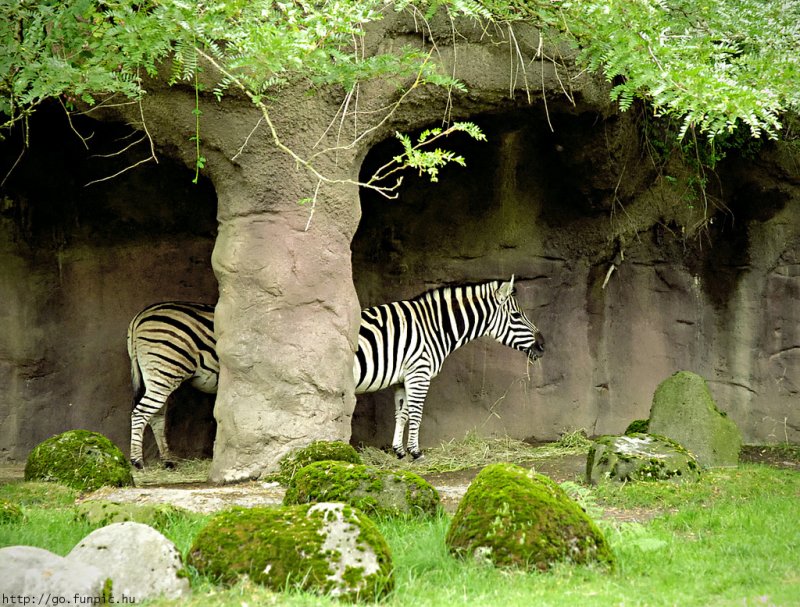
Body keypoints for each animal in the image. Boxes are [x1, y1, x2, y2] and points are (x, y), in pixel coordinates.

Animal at [127, 277, 544, 467]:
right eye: (519, 316)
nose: (543, 346)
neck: (433, 328)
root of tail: (140, 315)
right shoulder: (420, 371)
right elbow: (416, 413)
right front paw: (415, 453)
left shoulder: (403, 375)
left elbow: (400, 413)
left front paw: (397, 451)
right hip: (166, 368)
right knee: (141, 413)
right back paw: (136, 462)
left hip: (163, 372)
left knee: (156, 414)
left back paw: (166, 460)